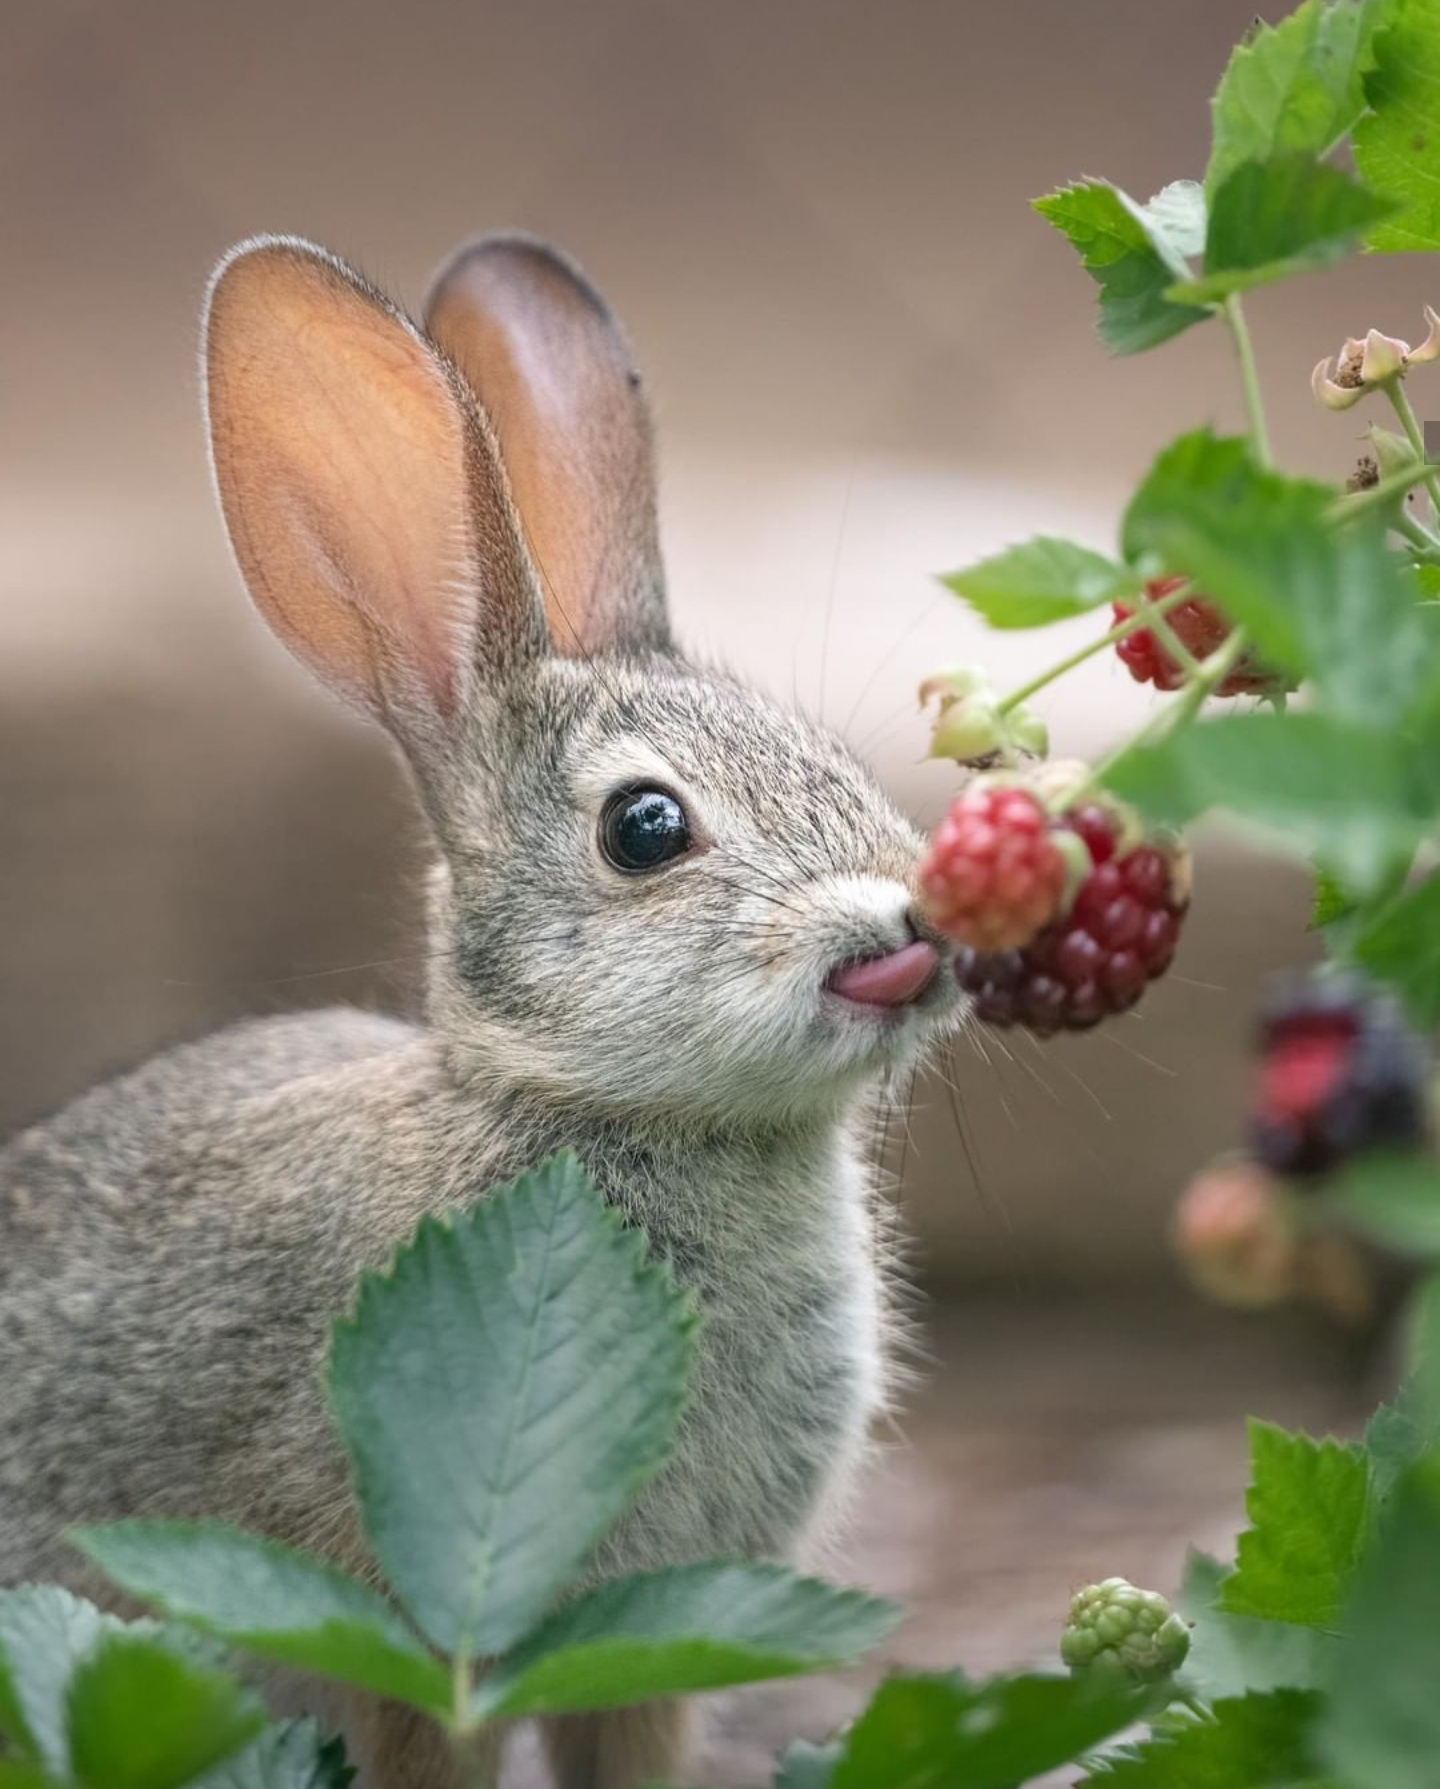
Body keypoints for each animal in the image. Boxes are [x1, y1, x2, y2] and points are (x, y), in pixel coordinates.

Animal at [2, 237, 965, 1789]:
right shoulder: (398, 1632)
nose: (917, 929)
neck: (583, 1105)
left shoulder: (648, 1645)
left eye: (834, 760)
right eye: (646, 828)